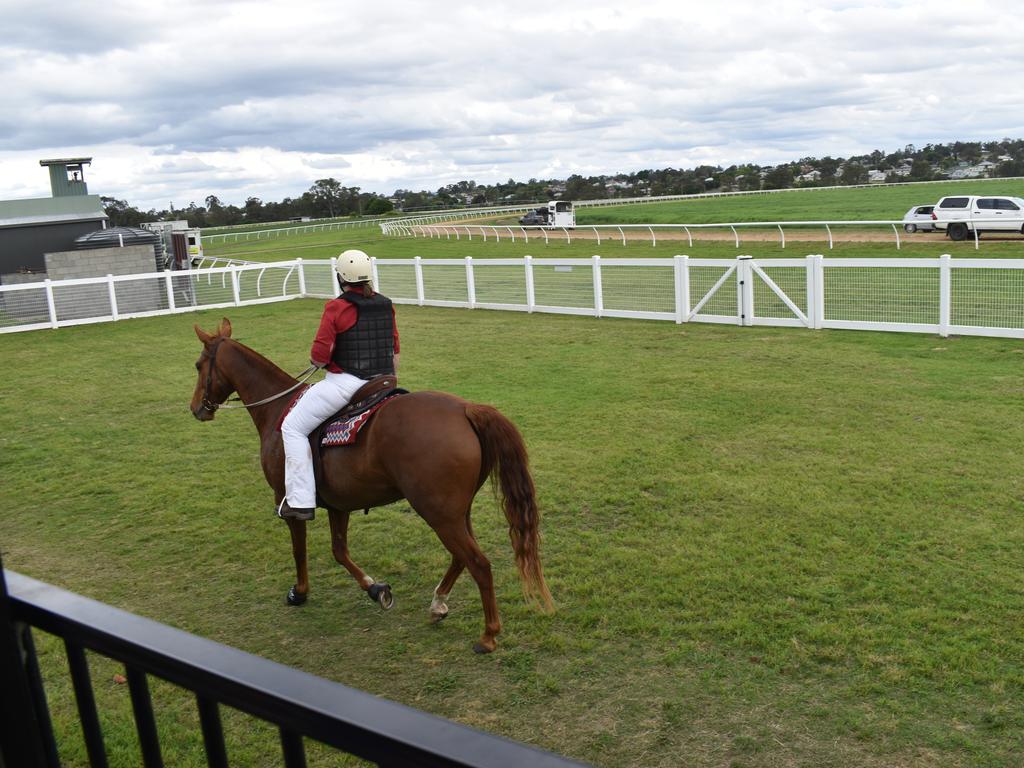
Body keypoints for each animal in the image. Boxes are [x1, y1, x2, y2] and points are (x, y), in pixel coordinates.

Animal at [187, 315, 548, 651]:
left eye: (199, 365)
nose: (196, 409)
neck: (276, 409)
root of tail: (466, 409)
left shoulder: (289, 501)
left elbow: (300, 549)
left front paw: (300, 593)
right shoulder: (339, 505)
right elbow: (339, 551)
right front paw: (377, 589)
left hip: (439, 514)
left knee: (479, 564)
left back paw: (488, 636)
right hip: (456, 512)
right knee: (461, 558)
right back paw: (438, 605)